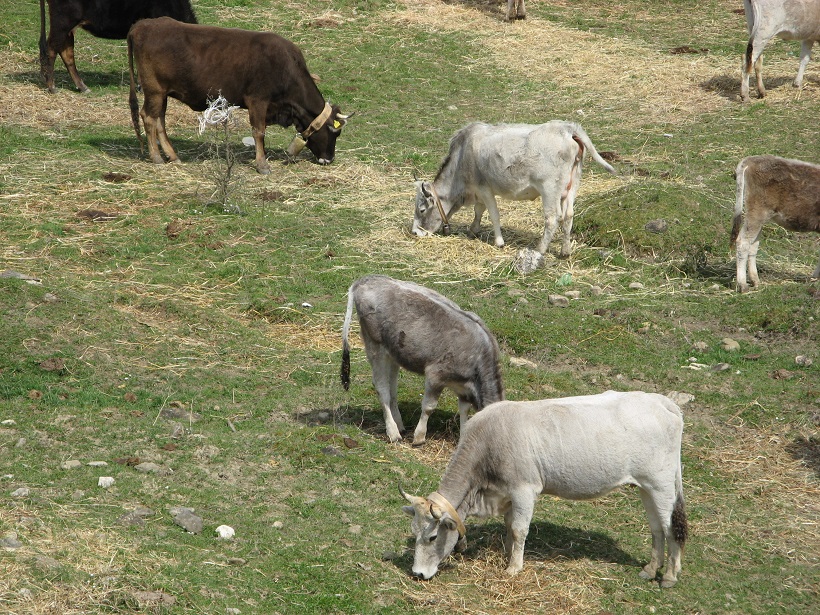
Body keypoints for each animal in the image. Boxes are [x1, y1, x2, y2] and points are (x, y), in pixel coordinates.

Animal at [342, 276, 506, 446]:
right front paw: (419, 437)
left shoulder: (463, 387)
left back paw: (400, 425)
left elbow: (464, 410)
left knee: (392, 388)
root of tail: (367, 279)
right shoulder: (436, 375)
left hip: (393, 351)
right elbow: (429, 407)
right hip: (374, 344)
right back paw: (393, 432)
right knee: (382, 387)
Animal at [400, 392, 688, 588]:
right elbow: (509, 525)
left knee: (670, 528)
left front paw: (513, 568)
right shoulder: (507, 493)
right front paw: (508, 554)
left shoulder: (524, 490)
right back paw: (650, 569)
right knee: (656, 529)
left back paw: (669, 576)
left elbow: (519, 529)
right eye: (414, 532)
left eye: (432, 538)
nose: (417, 573)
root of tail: (662, 402)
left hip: (661, 485)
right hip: (646, 487)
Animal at [414, 122, 620, 258]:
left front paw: (499, 242)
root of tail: (567, 128)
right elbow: (479, 210)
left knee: (552, 219)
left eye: (421, 210)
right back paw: (565, 251)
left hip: (550, 189)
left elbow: (493, 214)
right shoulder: (479, 192)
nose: (415, 232)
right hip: (572, 186)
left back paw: (540, 249)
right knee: (568, 216)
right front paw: (473, 230)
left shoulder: (484, 188)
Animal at [732, 155, 820, 292]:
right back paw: (742, 284)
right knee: (743, 242)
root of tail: (752, 159)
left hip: (759, 217)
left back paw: (755, 280)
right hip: (756, 214)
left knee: (753, 246)